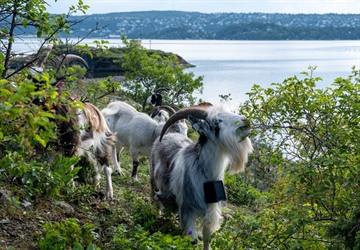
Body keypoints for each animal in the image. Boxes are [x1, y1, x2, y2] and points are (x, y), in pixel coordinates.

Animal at [30, 44, 116, 199]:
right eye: (29, 76)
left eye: (45, 82)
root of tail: (99, 113)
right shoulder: (50, 145)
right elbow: (47, 163)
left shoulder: (72, 144)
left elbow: (69, 166)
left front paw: (70, 188)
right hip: (87, 147)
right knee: (93, 163)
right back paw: (96, 183)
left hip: (102, 142)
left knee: (106, 166)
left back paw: (108, 193)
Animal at [149, 102, 253, 249]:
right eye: (216, 122)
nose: (245, 121)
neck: (206, 176)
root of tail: (170, 134)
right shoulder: (187, 209)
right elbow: (192, 239)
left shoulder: (210, 212)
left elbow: (207, 238)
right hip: (153, 178)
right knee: (154, 198)